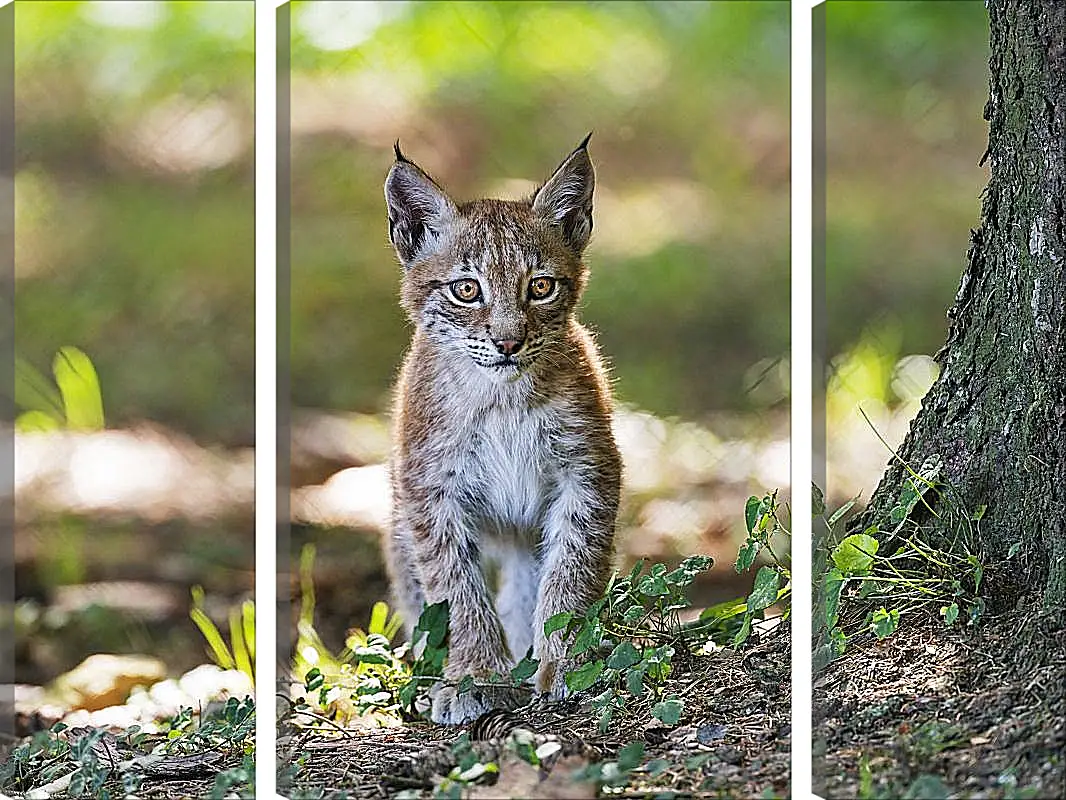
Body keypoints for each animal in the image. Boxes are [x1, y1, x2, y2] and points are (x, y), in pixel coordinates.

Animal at [383, 137, 622, 725]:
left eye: (540, 287)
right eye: (467, 290)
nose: (509, 343)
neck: (502, 398)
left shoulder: (589, 471)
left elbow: (571, 575)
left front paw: (567, 664)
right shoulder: (430, 491)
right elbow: (455, 590)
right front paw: (476, 677)